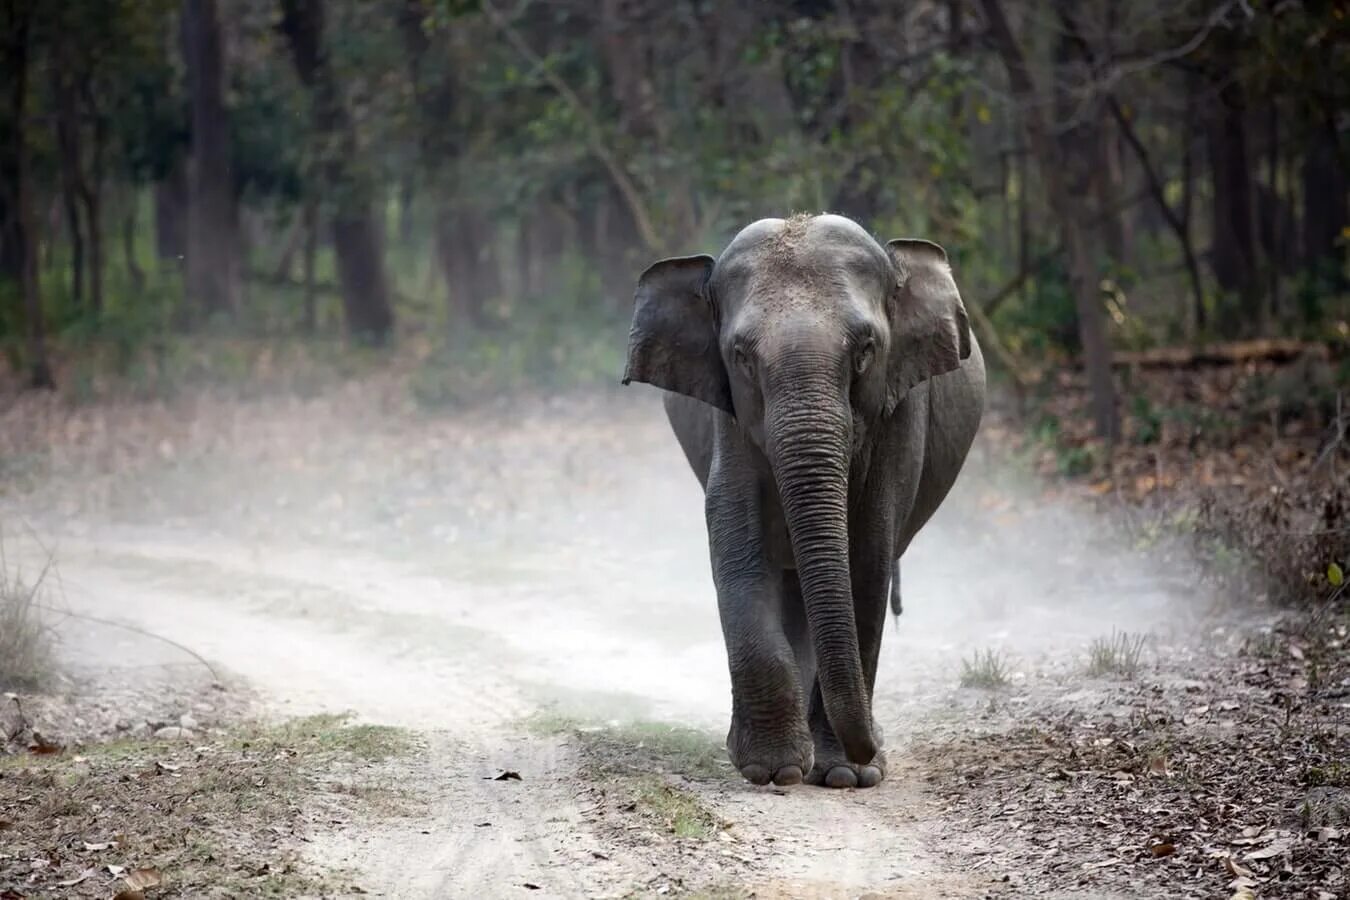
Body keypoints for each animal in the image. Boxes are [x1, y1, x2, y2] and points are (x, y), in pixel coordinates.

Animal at [618, 214, 982, 793]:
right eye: (741, 357)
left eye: (866, 351)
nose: (872, 747)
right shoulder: (729, 417)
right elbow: (737, 548)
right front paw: (775, 770)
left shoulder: (899, 413)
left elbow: (867, 559)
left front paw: (846, 776)